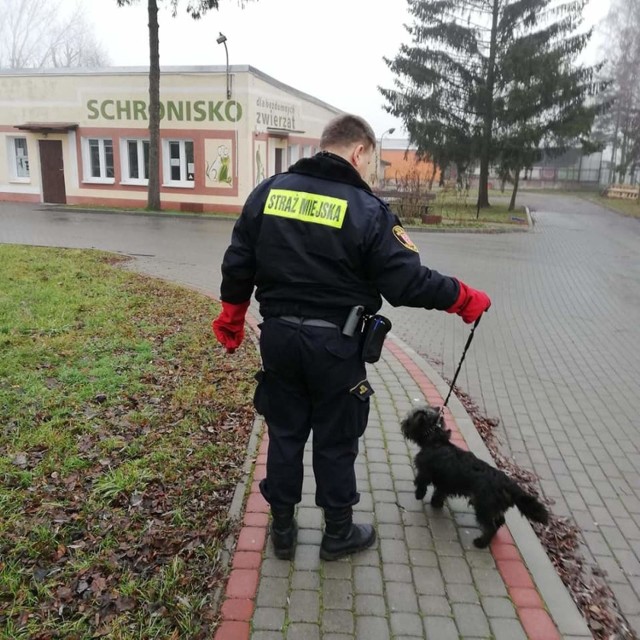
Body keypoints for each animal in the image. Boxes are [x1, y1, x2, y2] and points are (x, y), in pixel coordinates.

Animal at [402, 408, 548, 548]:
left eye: (409, 421)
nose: (403, 424)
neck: (436, 439)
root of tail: (508, 483)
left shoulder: (425, 472)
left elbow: (421, 483)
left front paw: (419, 495)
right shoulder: (445, 482)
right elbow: (439, 493)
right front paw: (435, 503)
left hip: (483, 507)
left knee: (491, 526)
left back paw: (481, 543)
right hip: (493, 507)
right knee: (500, 521)